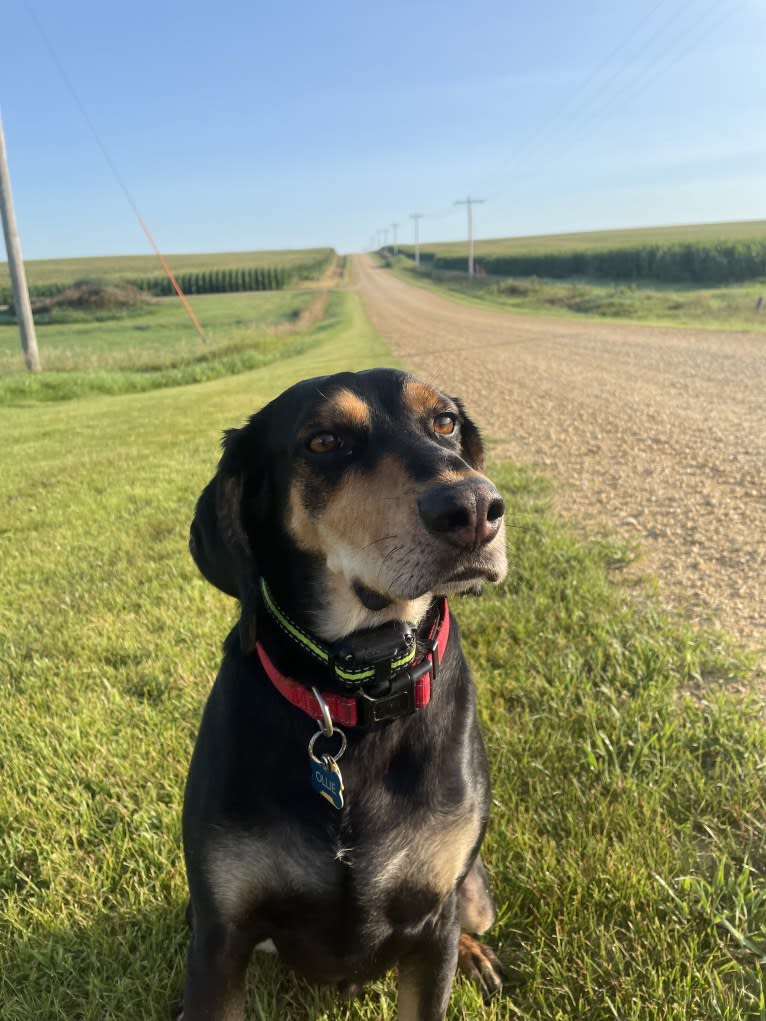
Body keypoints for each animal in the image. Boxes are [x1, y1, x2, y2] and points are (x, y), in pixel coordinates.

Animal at [181, 369, 510, 1021]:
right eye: (325, 441)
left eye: (445, 422)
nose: (474, 508)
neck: (357, 693)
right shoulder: (220, 934)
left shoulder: (433, 919)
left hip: (475, 892)